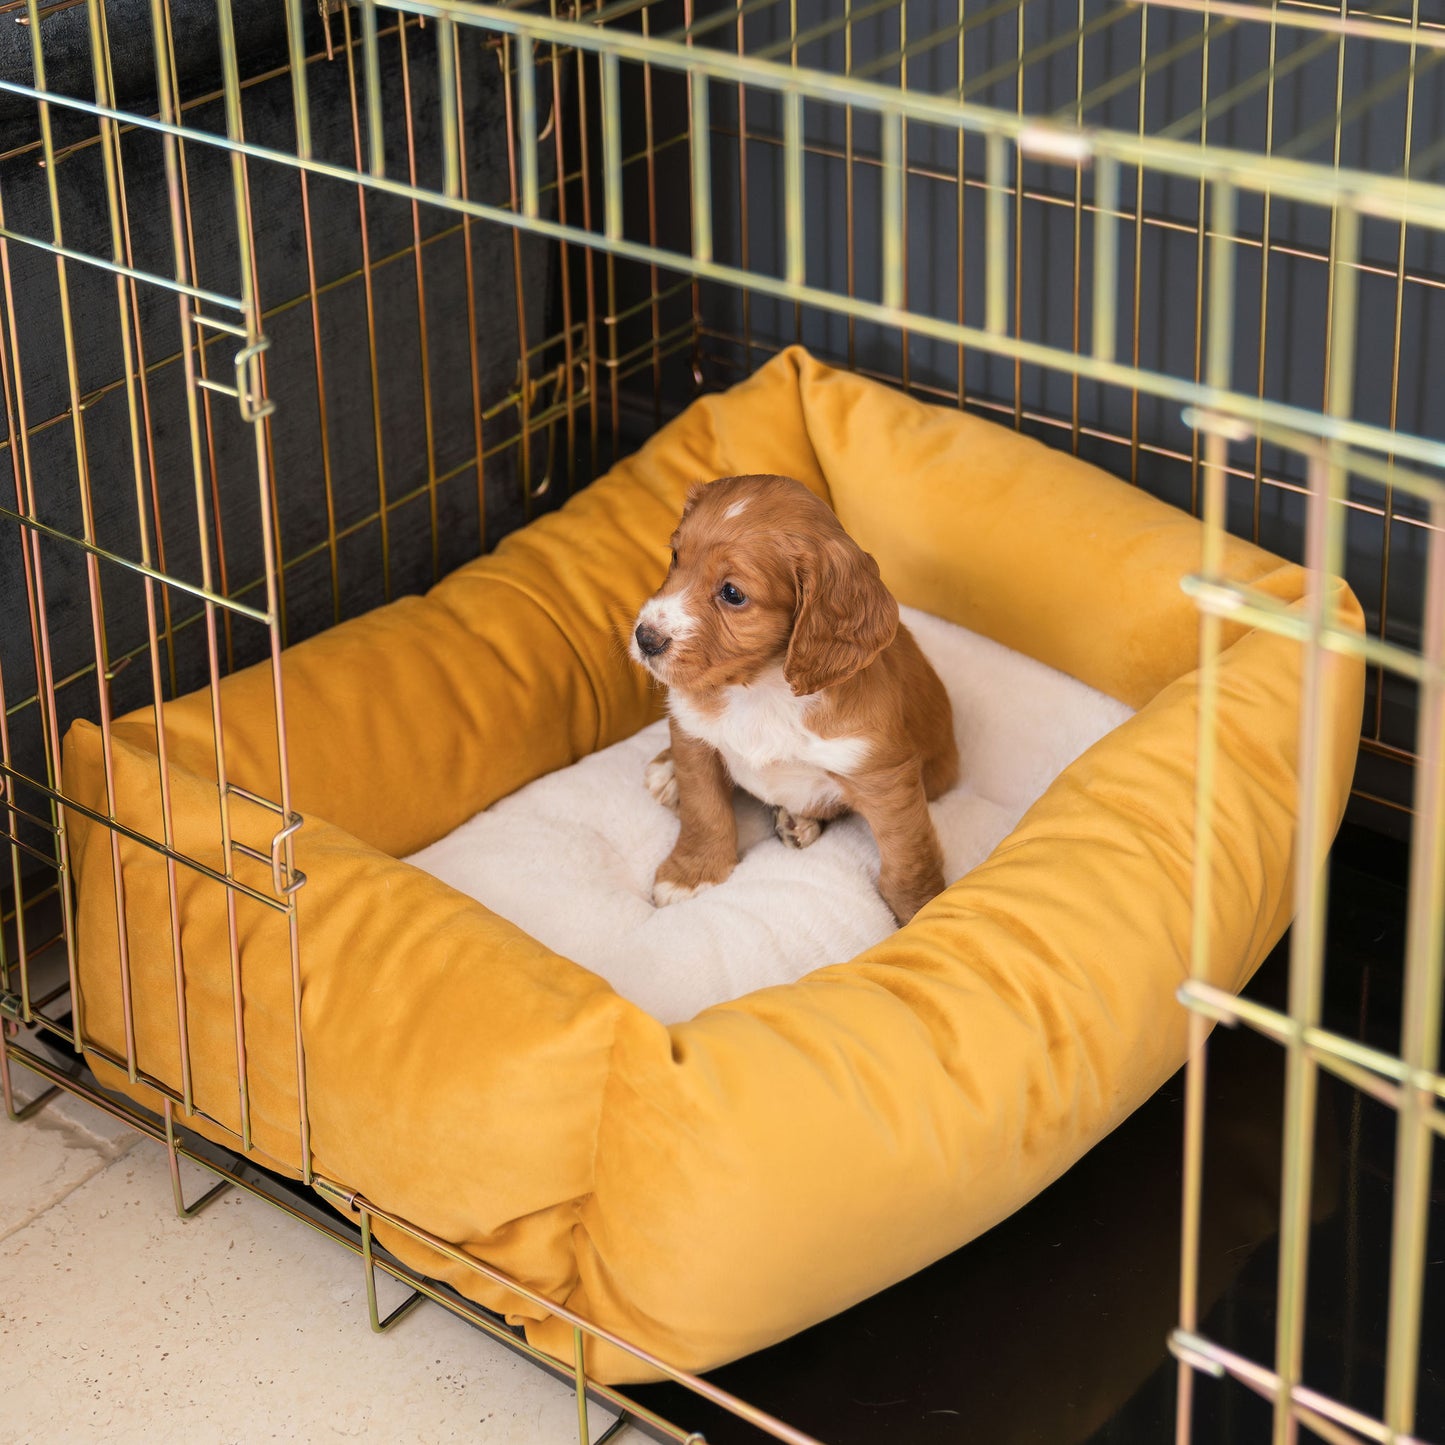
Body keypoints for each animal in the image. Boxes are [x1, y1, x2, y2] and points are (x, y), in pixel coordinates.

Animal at [632, 473, 959, 924]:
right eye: (676, 557)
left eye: (732, 593)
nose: (645, 638)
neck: (761, 689)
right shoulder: (694, 736)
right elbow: (705, 812)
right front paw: (692, 874)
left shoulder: (885, 777)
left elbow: (907, 859)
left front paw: (921, 915)